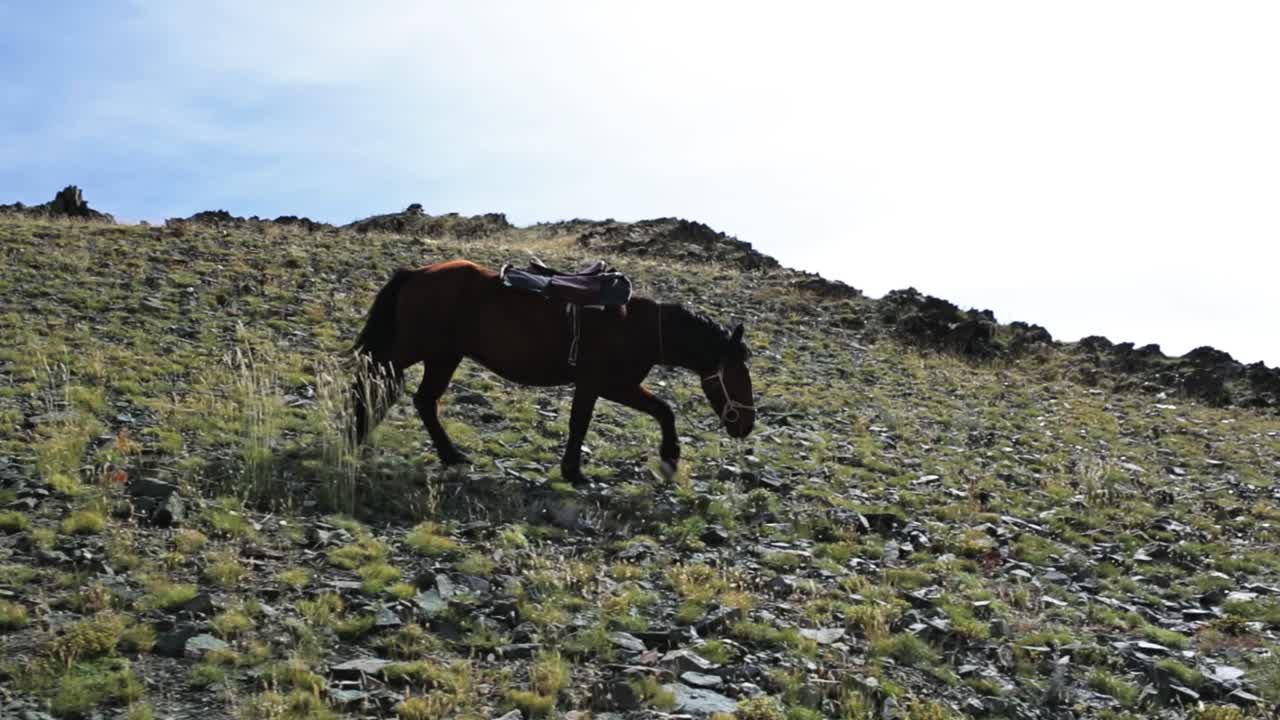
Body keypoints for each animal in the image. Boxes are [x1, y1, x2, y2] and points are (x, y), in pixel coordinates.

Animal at [347, 259, 755, 484]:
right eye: (737, 373)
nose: (746, 425)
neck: (639, 327)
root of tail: (416, 273)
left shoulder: (618, 386)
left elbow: (661, 410)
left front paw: (669, 457)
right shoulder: (602, 383)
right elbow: (582, 422)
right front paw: (574, 472)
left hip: (444, 356)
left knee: (423, 400)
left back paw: (450, 455)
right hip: (414, 351)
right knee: (373, 381)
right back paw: (357, 435)